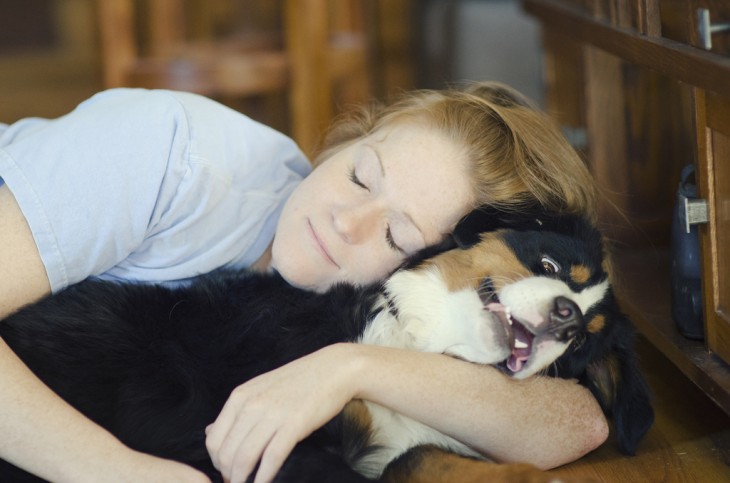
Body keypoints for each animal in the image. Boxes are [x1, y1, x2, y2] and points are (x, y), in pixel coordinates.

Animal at [0, 207, 648, 480]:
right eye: (551, 264)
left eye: (582, 344)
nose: (567, 317)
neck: (409, 342)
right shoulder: (277, 451)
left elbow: (421, 458)